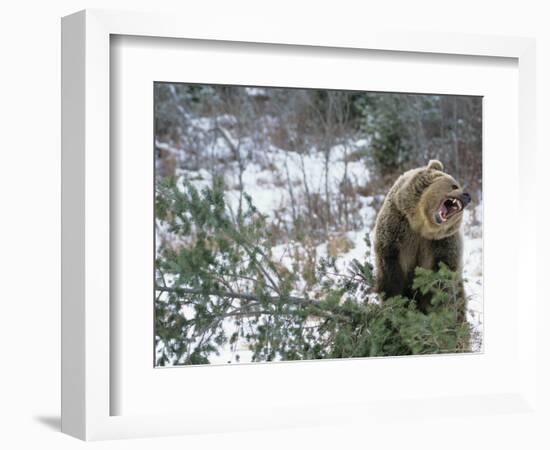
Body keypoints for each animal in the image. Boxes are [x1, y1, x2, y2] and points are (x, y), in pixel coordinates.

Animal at [376, 160, 474, 318]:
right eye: (454, 186)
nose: (467, 196)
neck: (421, 225)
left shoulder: (441, 244)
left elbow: (440, 282)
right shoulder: (396, 231)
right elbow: (391, 277)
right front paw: (394, 306)